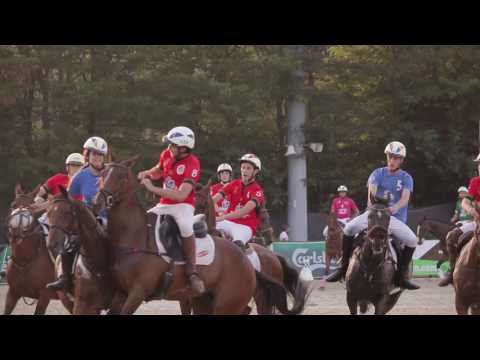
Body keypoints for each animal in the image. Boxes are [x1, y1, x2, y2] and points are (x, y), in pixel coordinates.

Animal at [3, 184, 73, 314]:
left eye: (30, 207)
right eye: (13, 205)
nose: (16, 230)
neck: (24, 260)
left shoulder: (45, 296)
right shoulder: (12, 293)